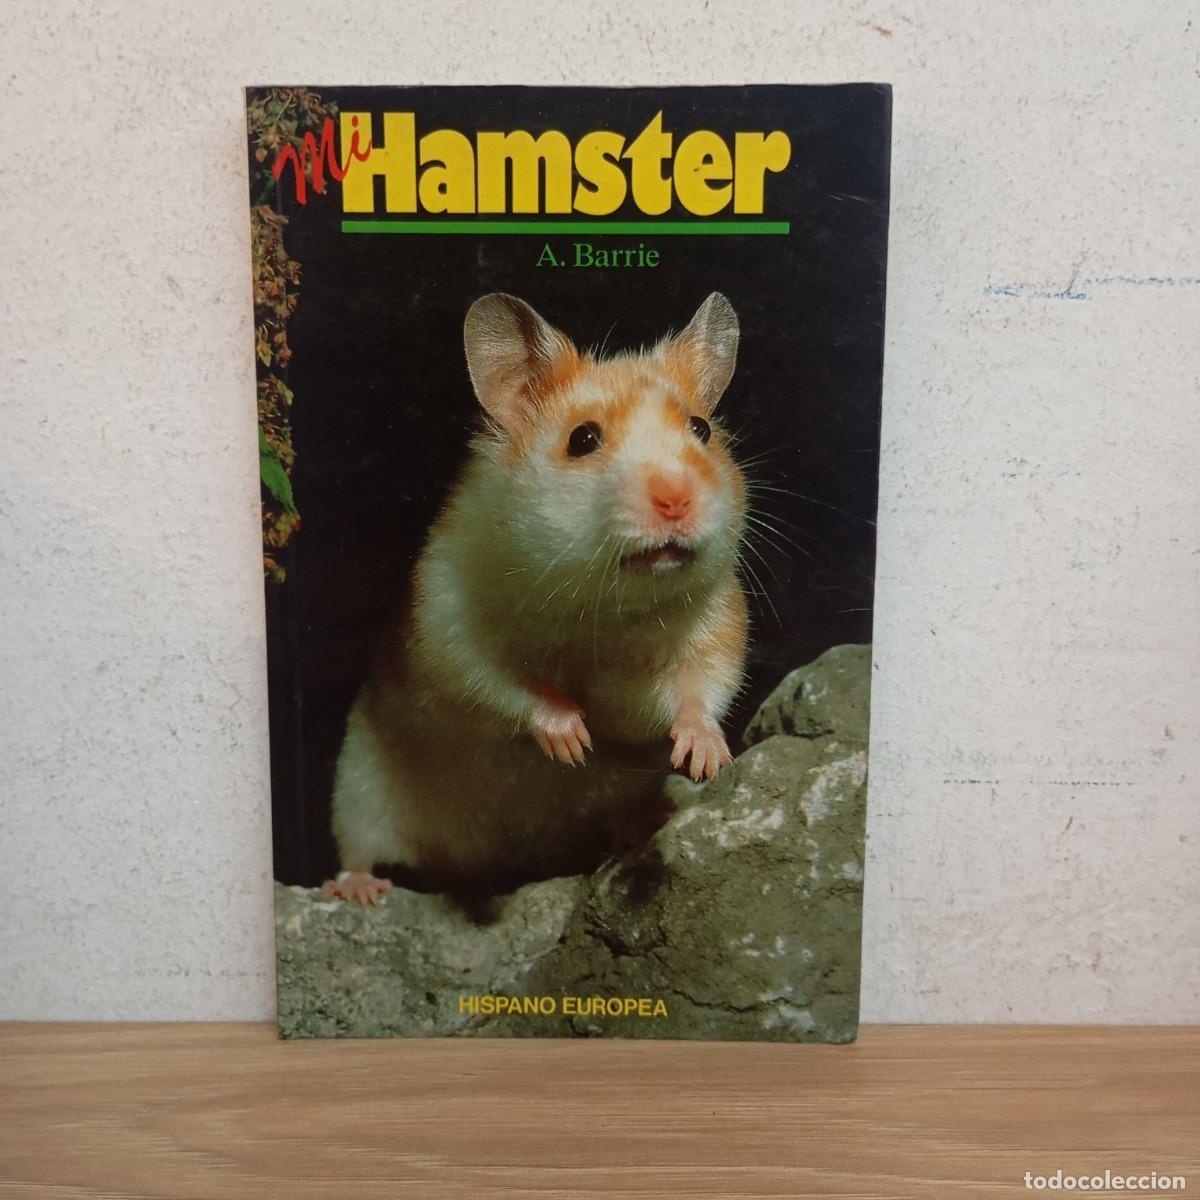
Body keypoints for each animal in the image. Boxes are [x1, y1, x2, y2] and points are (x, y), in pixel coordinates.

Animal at [323, 292, 749, 903]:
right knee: (358, 847)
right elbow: (499, 682)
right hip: (356, 787)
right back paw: (359, 890)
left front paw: (707, 759)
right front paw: (572, 740)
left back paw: (644, 820)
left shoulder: (716, 620)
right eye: (583, 439)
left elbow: (699, 685)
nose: (676, 500)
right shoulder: (446, 621)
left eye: (702, 428)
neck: (598, 600)